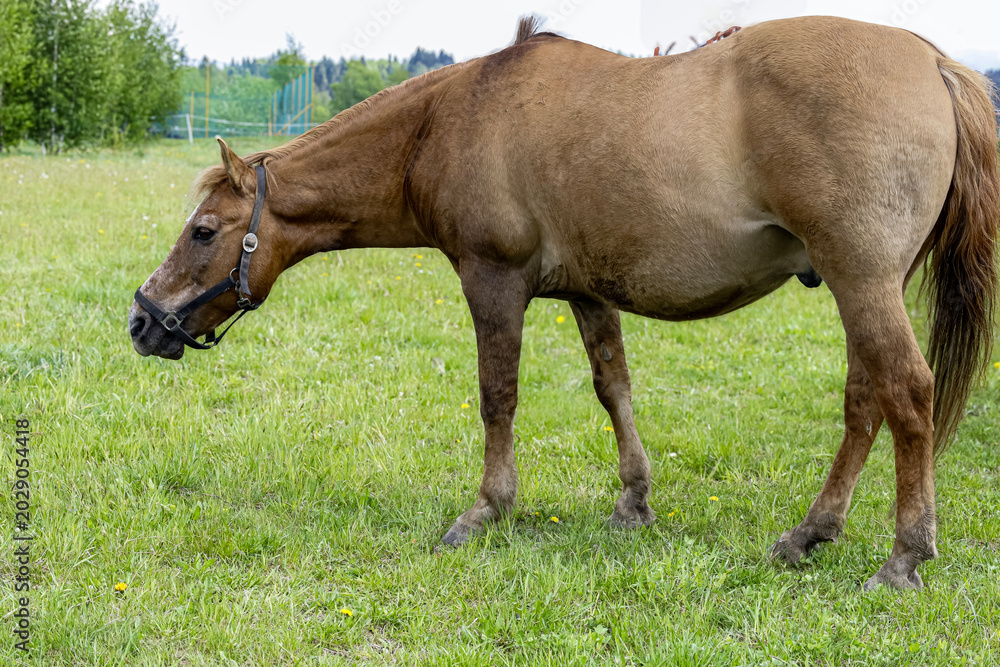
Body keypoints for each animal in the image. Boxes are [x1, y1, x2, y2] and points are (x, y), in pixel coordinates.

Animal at [129, 15, 999, 590]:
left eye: (204, 230)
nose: (142, 319)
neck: (446, 121)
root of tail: (932, 60)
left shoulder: (494, 280)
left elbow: (498, 396)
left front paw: (487, 509)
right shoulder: (587, 290)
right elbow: (613, 387)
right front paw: (633, 502)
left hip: (862, 280)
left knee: (907, 395)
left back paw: (905, 553)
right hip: (863, 287)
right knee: (864, 403)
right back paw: (811, 532)